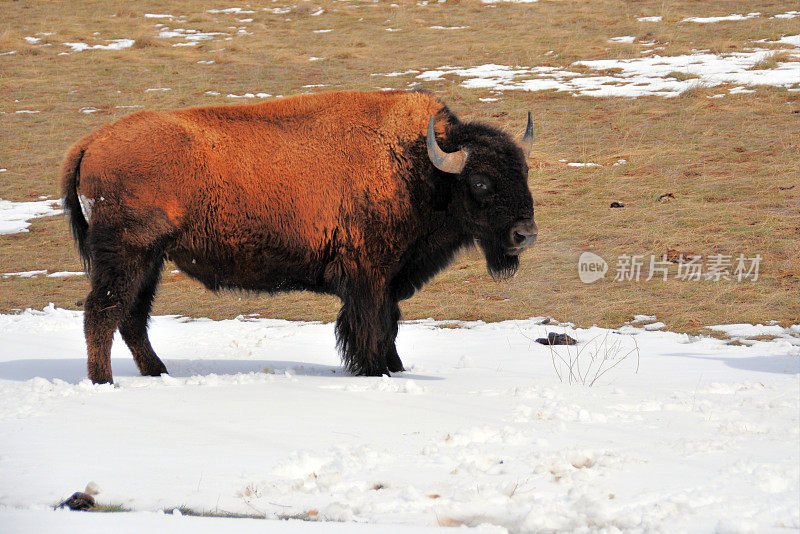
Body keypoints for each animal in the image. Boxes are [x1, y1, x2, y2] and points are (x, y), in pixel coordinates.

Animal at [62, 91, 536, 386]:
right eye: (480, 182)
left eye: (524, 172)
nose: (525, 234)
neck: (418, 164)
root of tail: (90, 142)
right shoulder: (369, 275)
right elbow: (373, 325)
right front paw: (376, 371)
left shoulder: (388, 277)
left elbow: (389, 323)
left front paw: (394, 368)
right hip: (128, 255)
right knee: (102, 314)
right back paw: (104, 382)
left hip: (150, 261)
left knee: (131, 317)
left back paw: (158, 373)